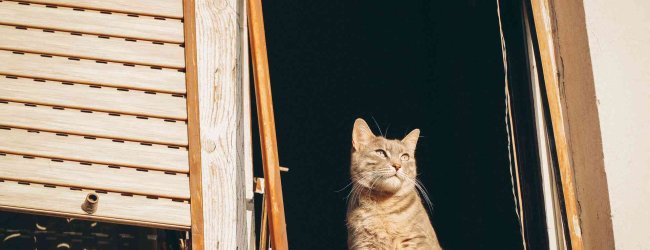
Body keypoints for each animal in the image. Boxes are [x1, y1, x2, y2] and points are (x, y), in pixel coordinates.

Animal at [344, 118, 440, 250]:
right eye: (381, 153)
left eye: (405, 157)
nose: (397, 165)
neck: (384, 205)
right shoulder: (363, 243)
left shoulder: (417, 240)